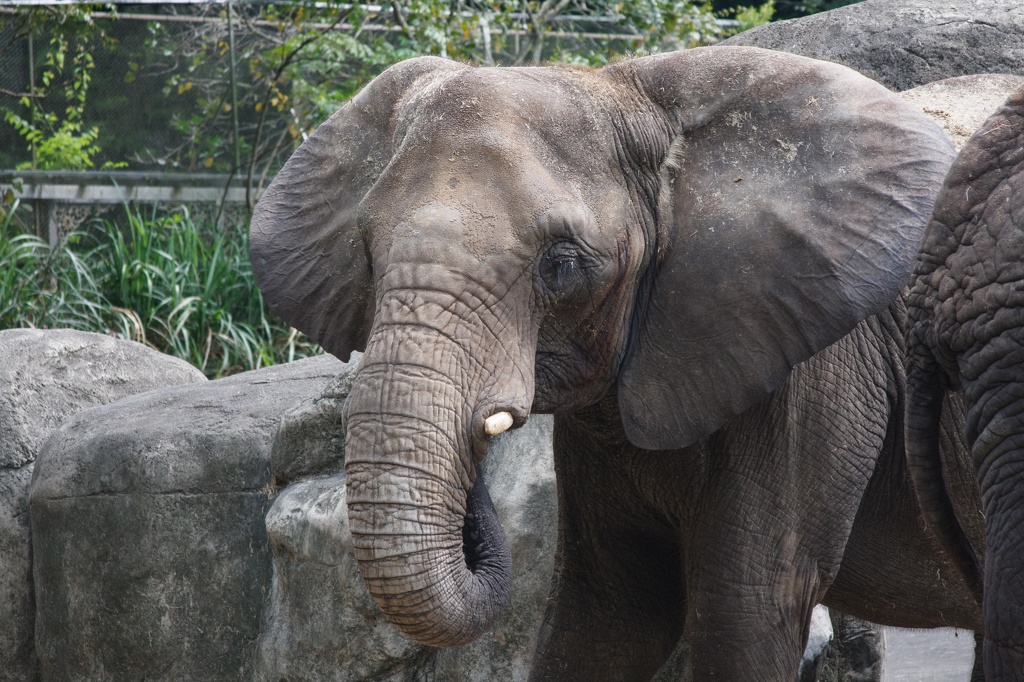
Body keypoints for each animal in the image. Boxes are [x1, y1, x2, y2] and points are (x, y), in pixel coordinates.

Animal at [249, 45, 983, 675]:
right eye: (368, 255)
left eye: (560, 264)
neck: (639, 97)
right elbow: (606, 610)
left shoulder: (812, 360)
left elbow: (746, 606)